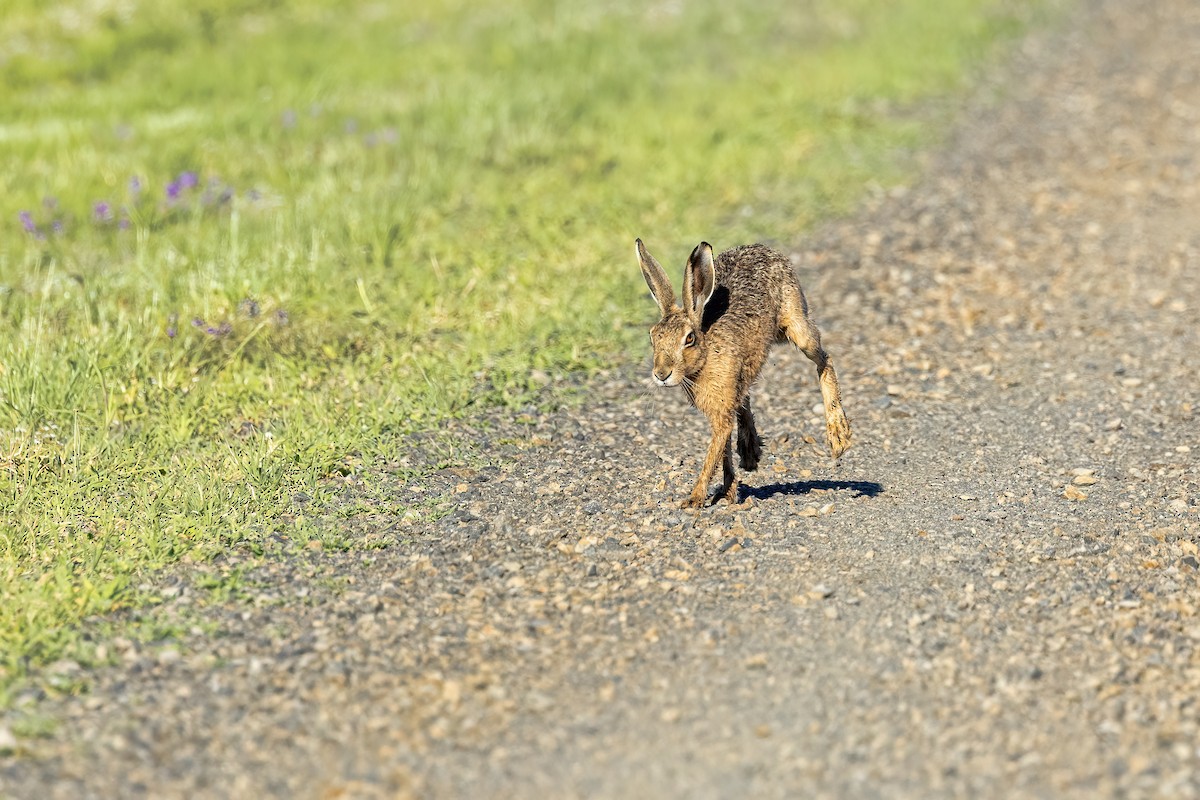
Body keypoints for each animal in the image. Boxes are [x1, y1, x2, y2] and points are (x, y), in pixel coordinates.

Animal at [636, 238, 851, 508]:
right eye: (652, 337)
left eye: (689, 339)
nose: (661, 374)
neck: (705, 358)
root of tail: (762, 248)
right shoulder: (722, 409)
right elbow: (723, 449)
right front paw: (727, 491)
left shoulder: (722, 411)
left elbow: (714, 453)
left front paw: (694, 499)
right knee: (746, 397)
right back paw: (750, 452)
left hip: (796, 326)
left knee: (824, 359)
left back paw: (838, 435)